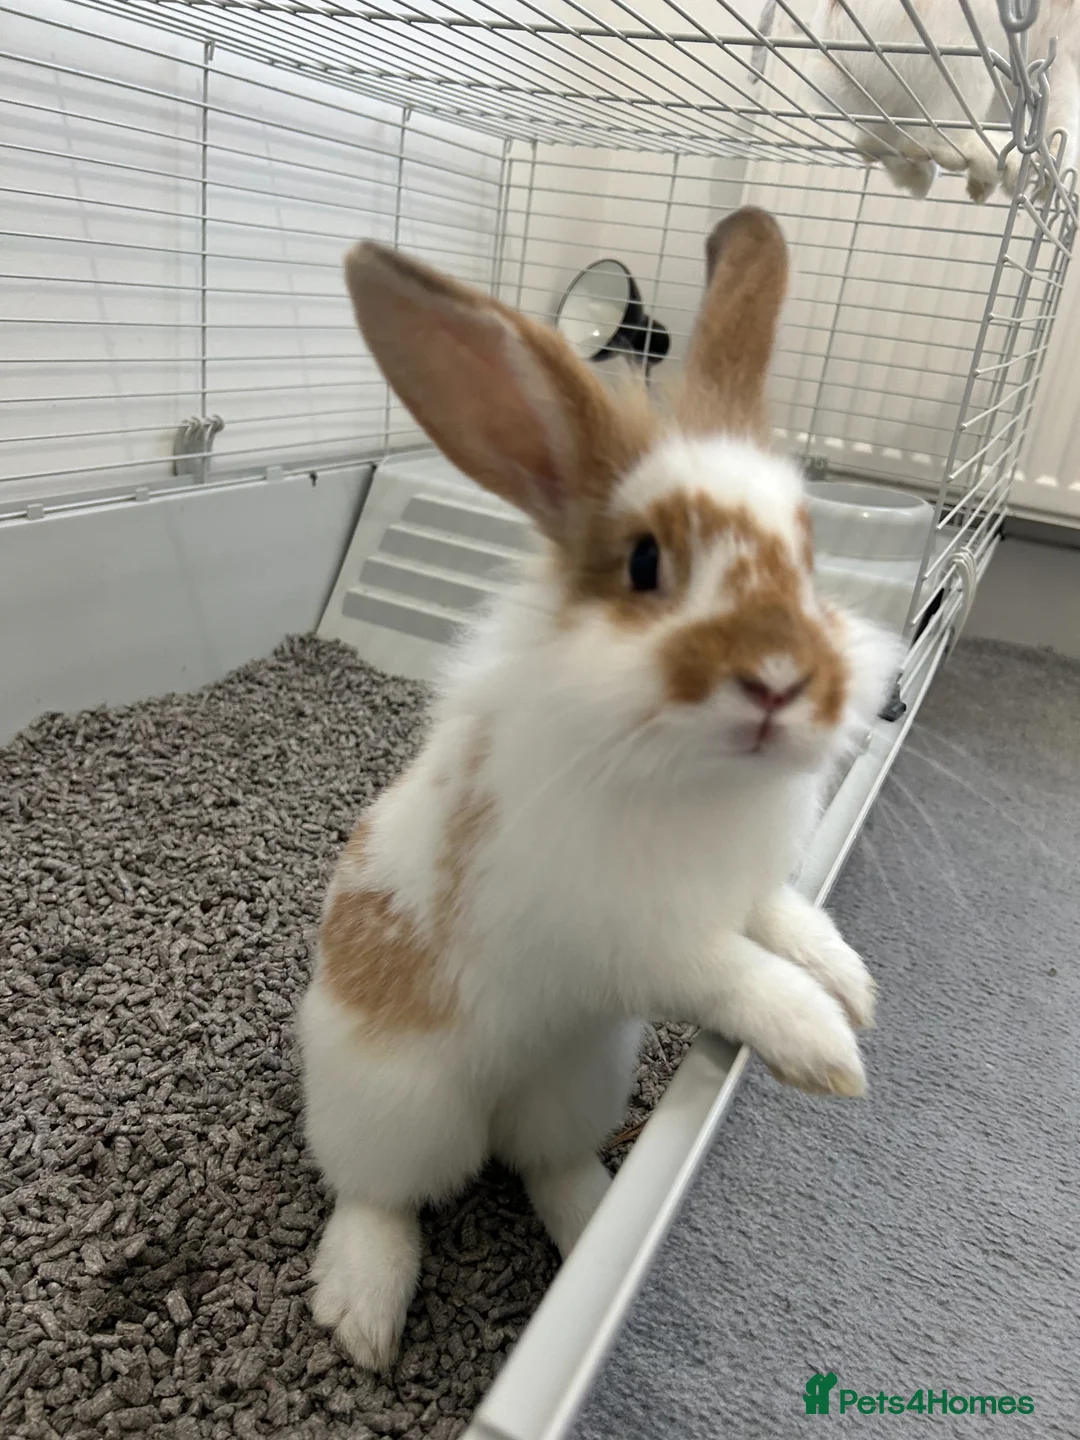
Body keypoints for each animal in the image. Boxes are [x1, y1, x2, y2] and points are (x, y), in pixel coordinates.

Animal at [298, 206, 902, 1371]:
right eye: (643, 565)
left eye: (808, 560)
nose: (779, 680)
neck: (700, 774)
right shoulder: (634, 934)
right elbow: (730, 972)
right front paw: (822, 1044)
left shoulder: (744, 886)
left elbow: (783, 921)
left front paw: (851, 984)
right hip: (397, 1105)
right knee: (380, 1193)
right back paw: (361, 1312)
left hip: (578, 1081)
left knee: (547, 1163)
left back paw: (588, 1226)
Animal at [757, 0, 1079, 202]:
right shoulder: (1063, 58)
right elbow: (1064, 117)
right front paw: (1049, 176)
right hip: (966, 57)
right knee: (932, 138)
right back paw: (992, 160)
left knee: (877, 143)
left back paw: (922, 178)